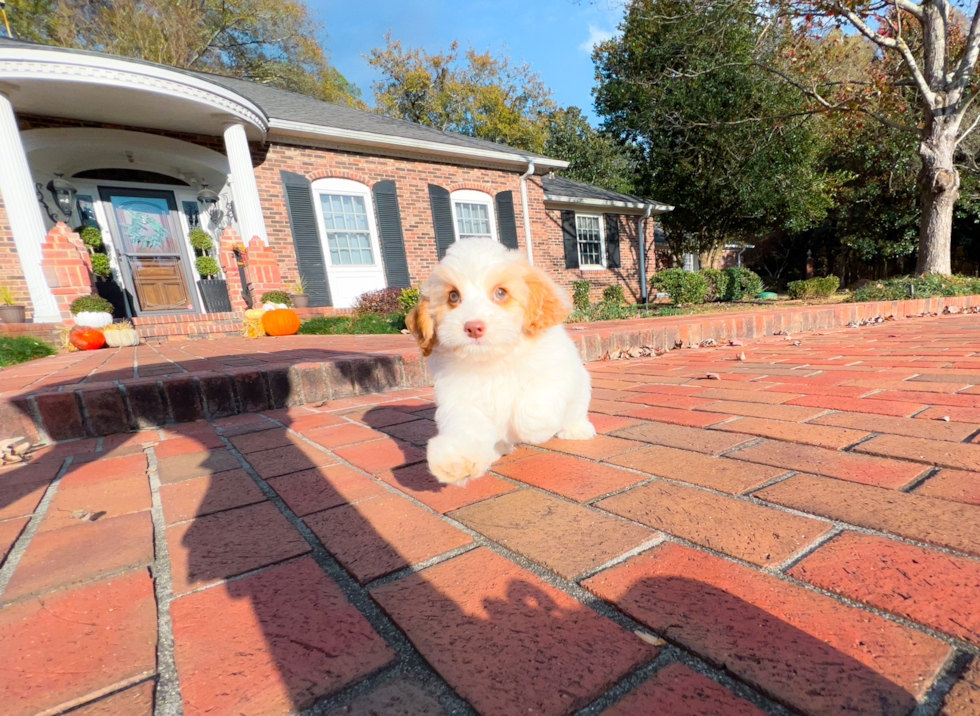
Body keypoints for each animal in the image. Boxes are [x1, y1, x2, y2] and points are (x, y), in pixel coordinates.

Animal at [404, 238, 592, 484]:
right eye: (453, 296)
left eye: (501, 293)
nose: (473, 327)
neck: (494, 359)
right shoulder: (461, 397)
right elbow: (465, 427)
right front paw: (455, 459)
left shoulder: (555, 370)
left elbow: (535, 406)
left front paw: (533, 430)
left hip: (582, 389)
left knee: (574, 412)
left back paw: (576, 429)